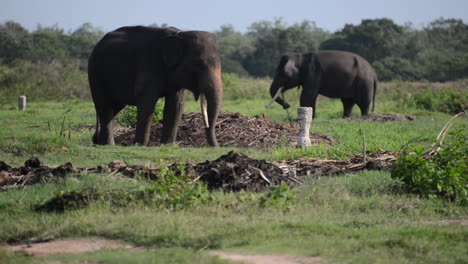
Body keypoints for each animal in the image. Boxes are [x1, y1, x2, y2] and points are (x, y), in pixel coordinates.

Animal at [88, 25, 223, 146]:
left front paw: (168, 145)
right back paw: (108, 145)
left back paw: (100, 143)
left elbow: (175, 104)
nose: (216, 147)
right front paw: (139, 145)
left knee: (114, 108)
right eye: (199, 64)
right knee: (104, 107)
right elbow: (147, 101)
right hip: (95, 74)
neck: (179, 34)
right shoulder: (149, 63)